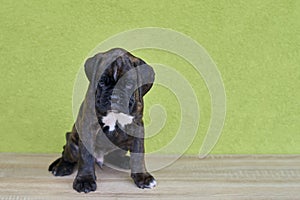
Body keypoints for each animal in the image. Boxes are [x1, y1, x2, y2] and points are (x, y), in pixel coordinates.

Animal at [48, 47, 156, 193]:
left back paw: (124, 161)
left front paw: (143, 177)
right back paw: (62, 167)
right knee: (67, 154)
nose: (114, 97)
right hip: (73, 145)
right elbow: (86, 157)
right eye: (102, 82)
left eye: (129, 84)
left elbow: (138, 154)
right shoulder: (88, 126)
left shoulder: (136, 127)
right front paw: (85, 180)